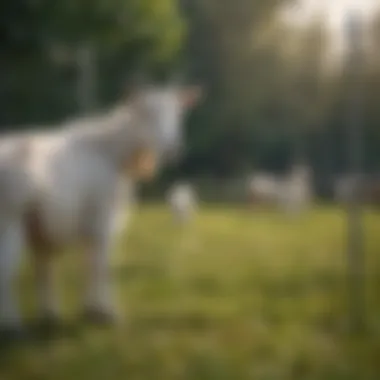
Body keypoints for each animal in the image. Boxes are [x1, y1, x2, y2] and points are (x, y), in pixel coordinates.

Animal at [0, 81, 203, 336]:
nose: (172, 148)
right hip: (9, 219)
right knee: (6, 267)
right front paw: (105, 313)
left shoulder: (71, 225)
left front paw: (86, 310)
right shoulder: (103, 217)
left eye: (178, 113)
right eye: (147, 113)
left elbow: (84, 263)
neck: (113, 155)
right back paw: (11, 324)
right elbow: (102, 264)